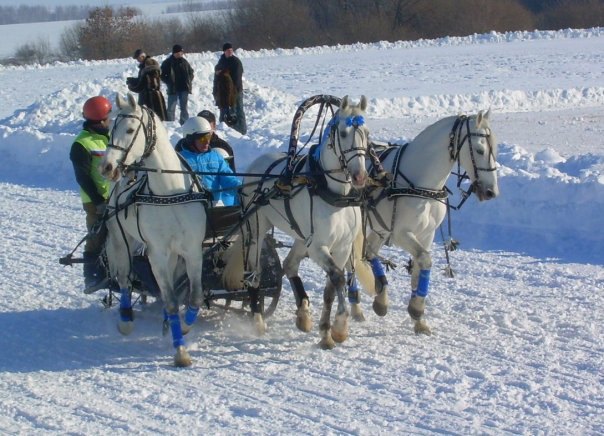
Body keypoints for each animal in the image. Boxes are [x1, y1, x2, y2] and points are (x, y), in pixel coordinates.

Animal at [101, 93, 208, 366]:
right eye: (110, 129)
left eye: (130, 129)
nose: (107, 167)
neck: (169, 193)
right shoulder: (156, 253)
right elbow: (170, 301)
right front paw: (180, 350)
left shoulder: (192, 251)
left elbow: (194, 297)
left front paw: (185, 326)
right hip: (121, 240)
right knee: (124, 278)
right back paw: (126, 318)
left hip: (172, 254)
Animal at [224, 96, 370, 350]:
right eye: (343, 133)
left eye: (367, 133)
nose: (360, 176)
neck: (333, 193)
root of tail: (255, 166)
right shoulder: (319, 247)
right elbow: (338, 277)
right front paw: (339, 327)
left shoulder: (342, 247)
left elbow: (332, 287)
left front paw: (328, 330)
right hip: (256, 229)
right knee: (254, 273)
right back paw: (258, 321)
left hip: (301, 236)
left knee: (289, 264)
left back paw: (303, 314)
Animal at [354, 111, 500, 334]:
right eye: (479, 149)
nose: (491, 191)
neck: (420, 183)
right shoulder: (400, 234)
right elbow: (425, 259)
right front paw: (416, 308)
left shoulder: (426, 234)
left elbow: (418, 269)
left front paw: (419, 319)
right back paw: (355, 308)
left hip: (378, 229)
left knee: (368, 252)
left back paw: (377, 300)